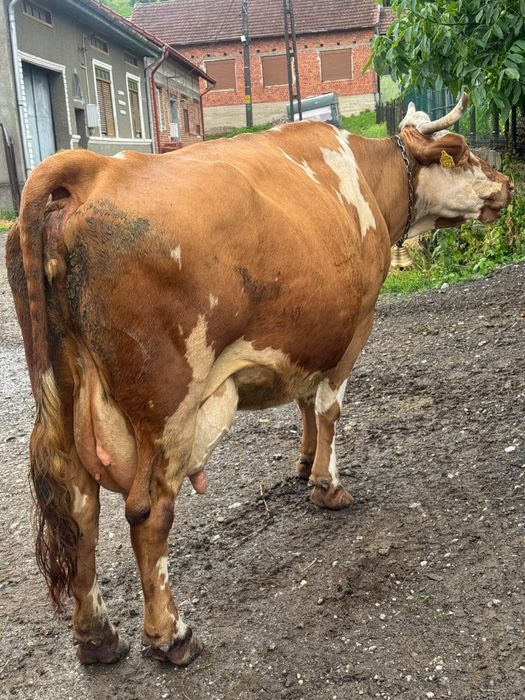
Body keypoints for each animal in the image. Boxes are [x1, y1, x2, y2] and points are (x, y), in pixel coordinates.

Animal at [6, 94, 513, 667]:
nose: (507, 183)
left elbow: (304, 401)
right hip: (168, 404)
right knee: (148, 512)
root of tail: (95, 170)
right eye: (462, 151)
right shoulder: (355, 324)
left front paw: (304, 463)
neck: (366, 177)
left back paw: (97, 636)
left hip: (62, 390)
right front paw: (327, 485)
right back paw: (170, 635)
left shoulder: (307, 335)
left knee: (78, 505)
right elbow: (329, 407)